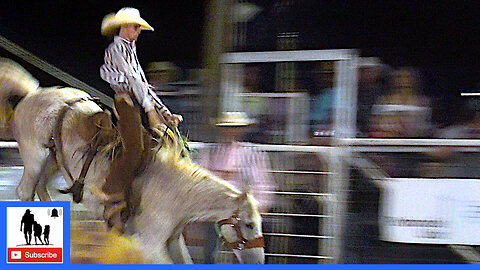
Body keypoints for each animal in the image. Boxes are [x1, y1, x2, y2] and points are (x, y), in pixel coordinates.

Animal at [0, 58, 264, 264]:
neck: (177, 192)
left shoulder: (173, 241)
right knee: (25, 191)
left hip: (53, 162)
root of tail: (32, 95)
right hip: (35, 156)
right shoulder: (149, 243)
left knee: (41, 187)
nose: (258, 260)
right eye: (249, 224)